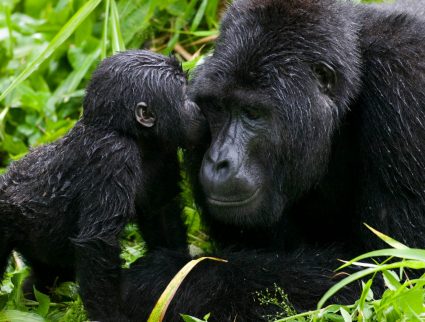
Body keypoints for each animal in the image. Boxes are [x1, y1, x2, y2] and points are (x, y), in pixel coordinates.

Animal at [0, 49, 202, 320]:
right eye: (183, 93)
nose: (198, 106)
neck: (128, 133)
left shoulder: (163, 150)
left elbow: (161, 212)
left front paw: (177, 274)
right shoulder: (113, 155)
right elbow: (98, 242)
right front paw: (110, 315)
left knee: (46, 276)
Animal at [122, 0, 424, 320]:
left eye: (252, 113)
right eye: (217, 107)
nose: (218, 160)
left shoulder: (404, 86)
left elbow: (388, 275)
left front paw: (164, 278)